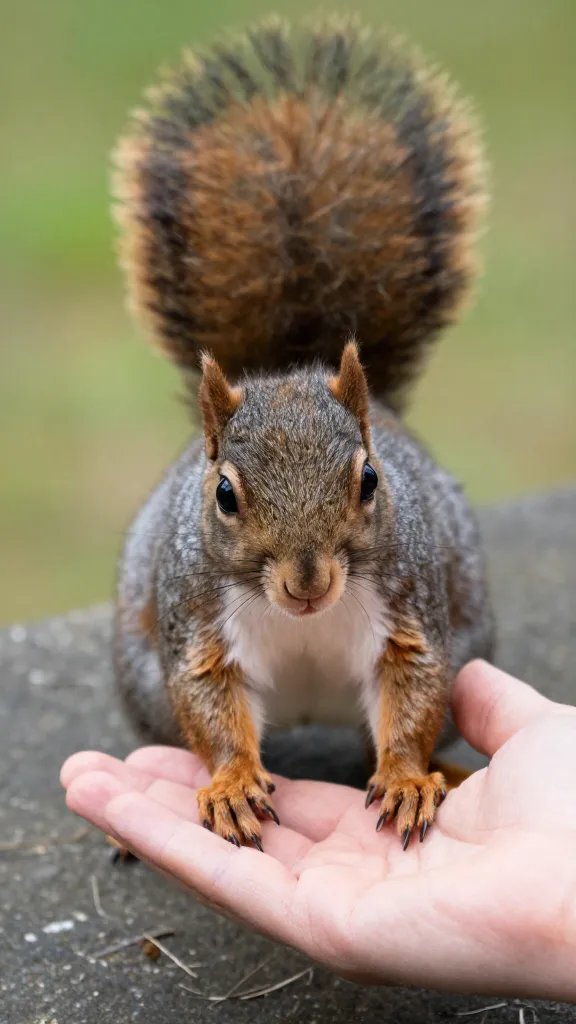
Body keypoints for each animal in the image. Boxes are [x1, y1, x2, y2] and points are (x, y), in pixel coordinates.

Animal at [112, 17, 494, 852]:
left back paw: (447, 771)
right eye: (224, 496)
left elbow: (413, 695)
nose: (308, 582)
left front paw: (409, 779)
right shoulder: (198, 624)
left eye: (371, 480)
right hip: (141, 676)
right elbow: (210, 707)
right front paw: (230, 785)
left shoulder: (412, 612)